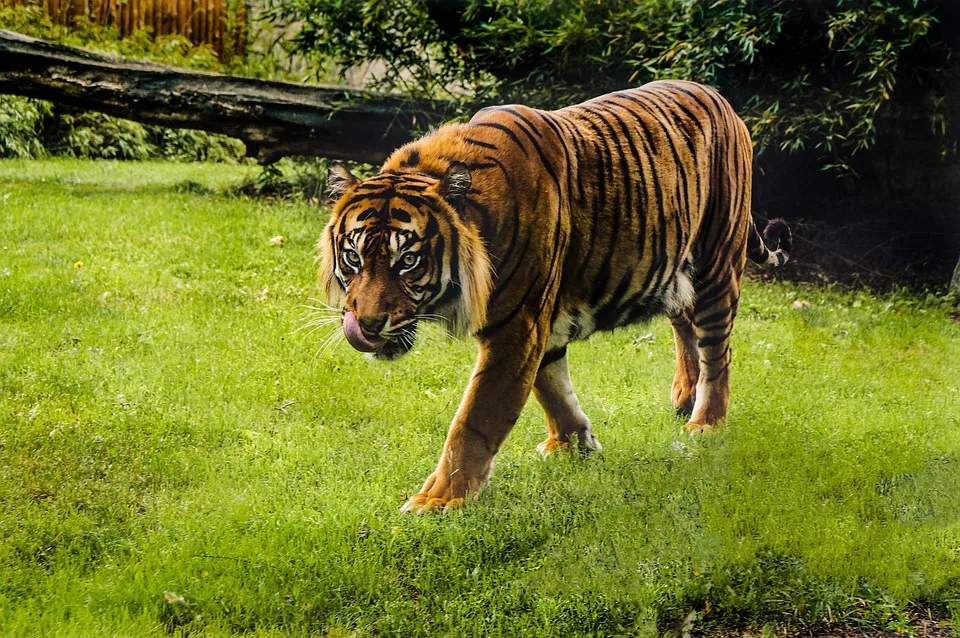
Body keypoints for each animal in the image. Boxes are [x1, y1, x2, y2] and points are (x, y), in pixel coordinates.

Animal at [318, 82, 792, 516]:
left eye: (408, 261)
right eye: (354, 256)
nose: (367, 324)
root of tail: (720, 97)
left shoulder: (517, 328)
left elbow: (475, 419)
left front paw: (437, 501)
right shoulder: (539, 324)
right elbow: (553, 387)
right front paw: (574, 444)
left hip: (718, 262)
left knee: (717, 351)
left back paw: (706, 422)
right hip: (676, 269)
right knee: (684, 322)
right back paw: (683, 395)